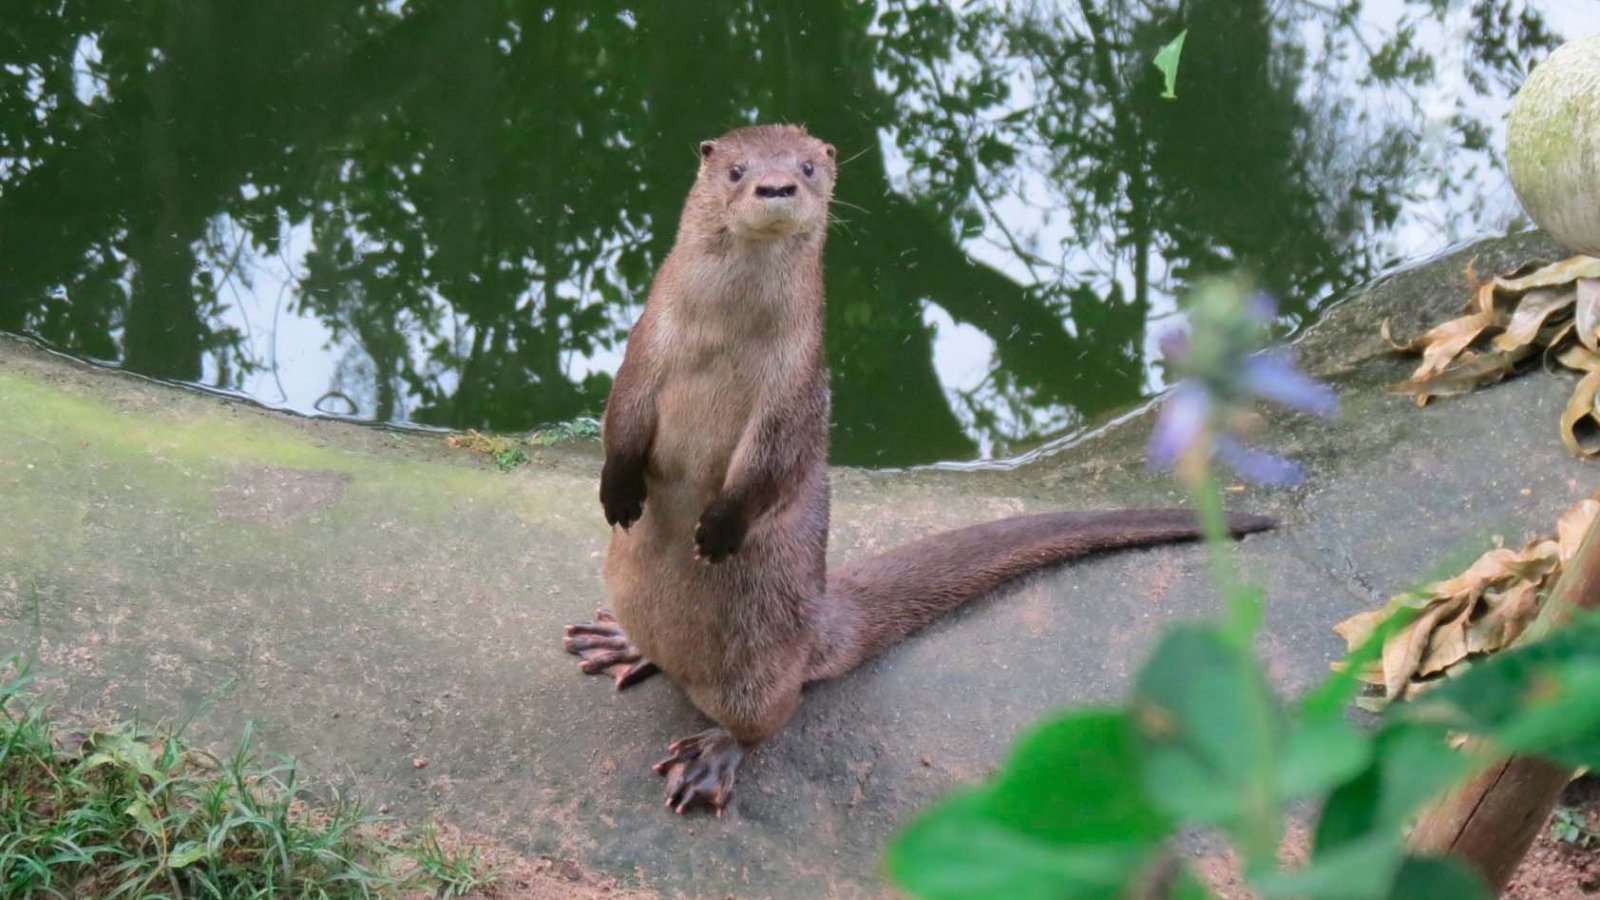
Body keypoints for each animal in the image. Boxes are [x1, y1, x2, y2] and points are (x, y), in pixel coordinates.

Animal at [566, 124, 1273, 813]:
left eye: (807, 166)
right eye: (737, 170)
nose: (776, 186)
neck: (720, 338)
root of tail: (820, 621)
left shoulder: (794, 386)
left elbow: (774, 461)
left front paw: (718, 529)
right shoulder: (644, 345)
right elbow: (618, 416)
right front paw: (618, 493)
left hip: (758, 663)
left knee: (765, 720)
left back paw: (709, 758)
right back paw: (618, 642)